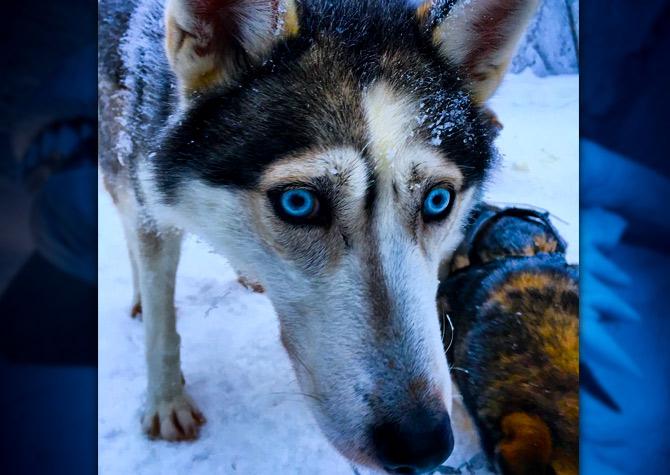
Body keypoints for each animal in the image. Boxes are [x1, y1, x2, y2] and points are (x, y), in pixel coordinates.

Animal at [100, 0, 540, 472]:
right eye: (298, 202)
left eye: (438, 200)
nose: (422, 444)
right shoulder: (148, 200)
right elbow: (161, 319)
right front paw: (166, 401)